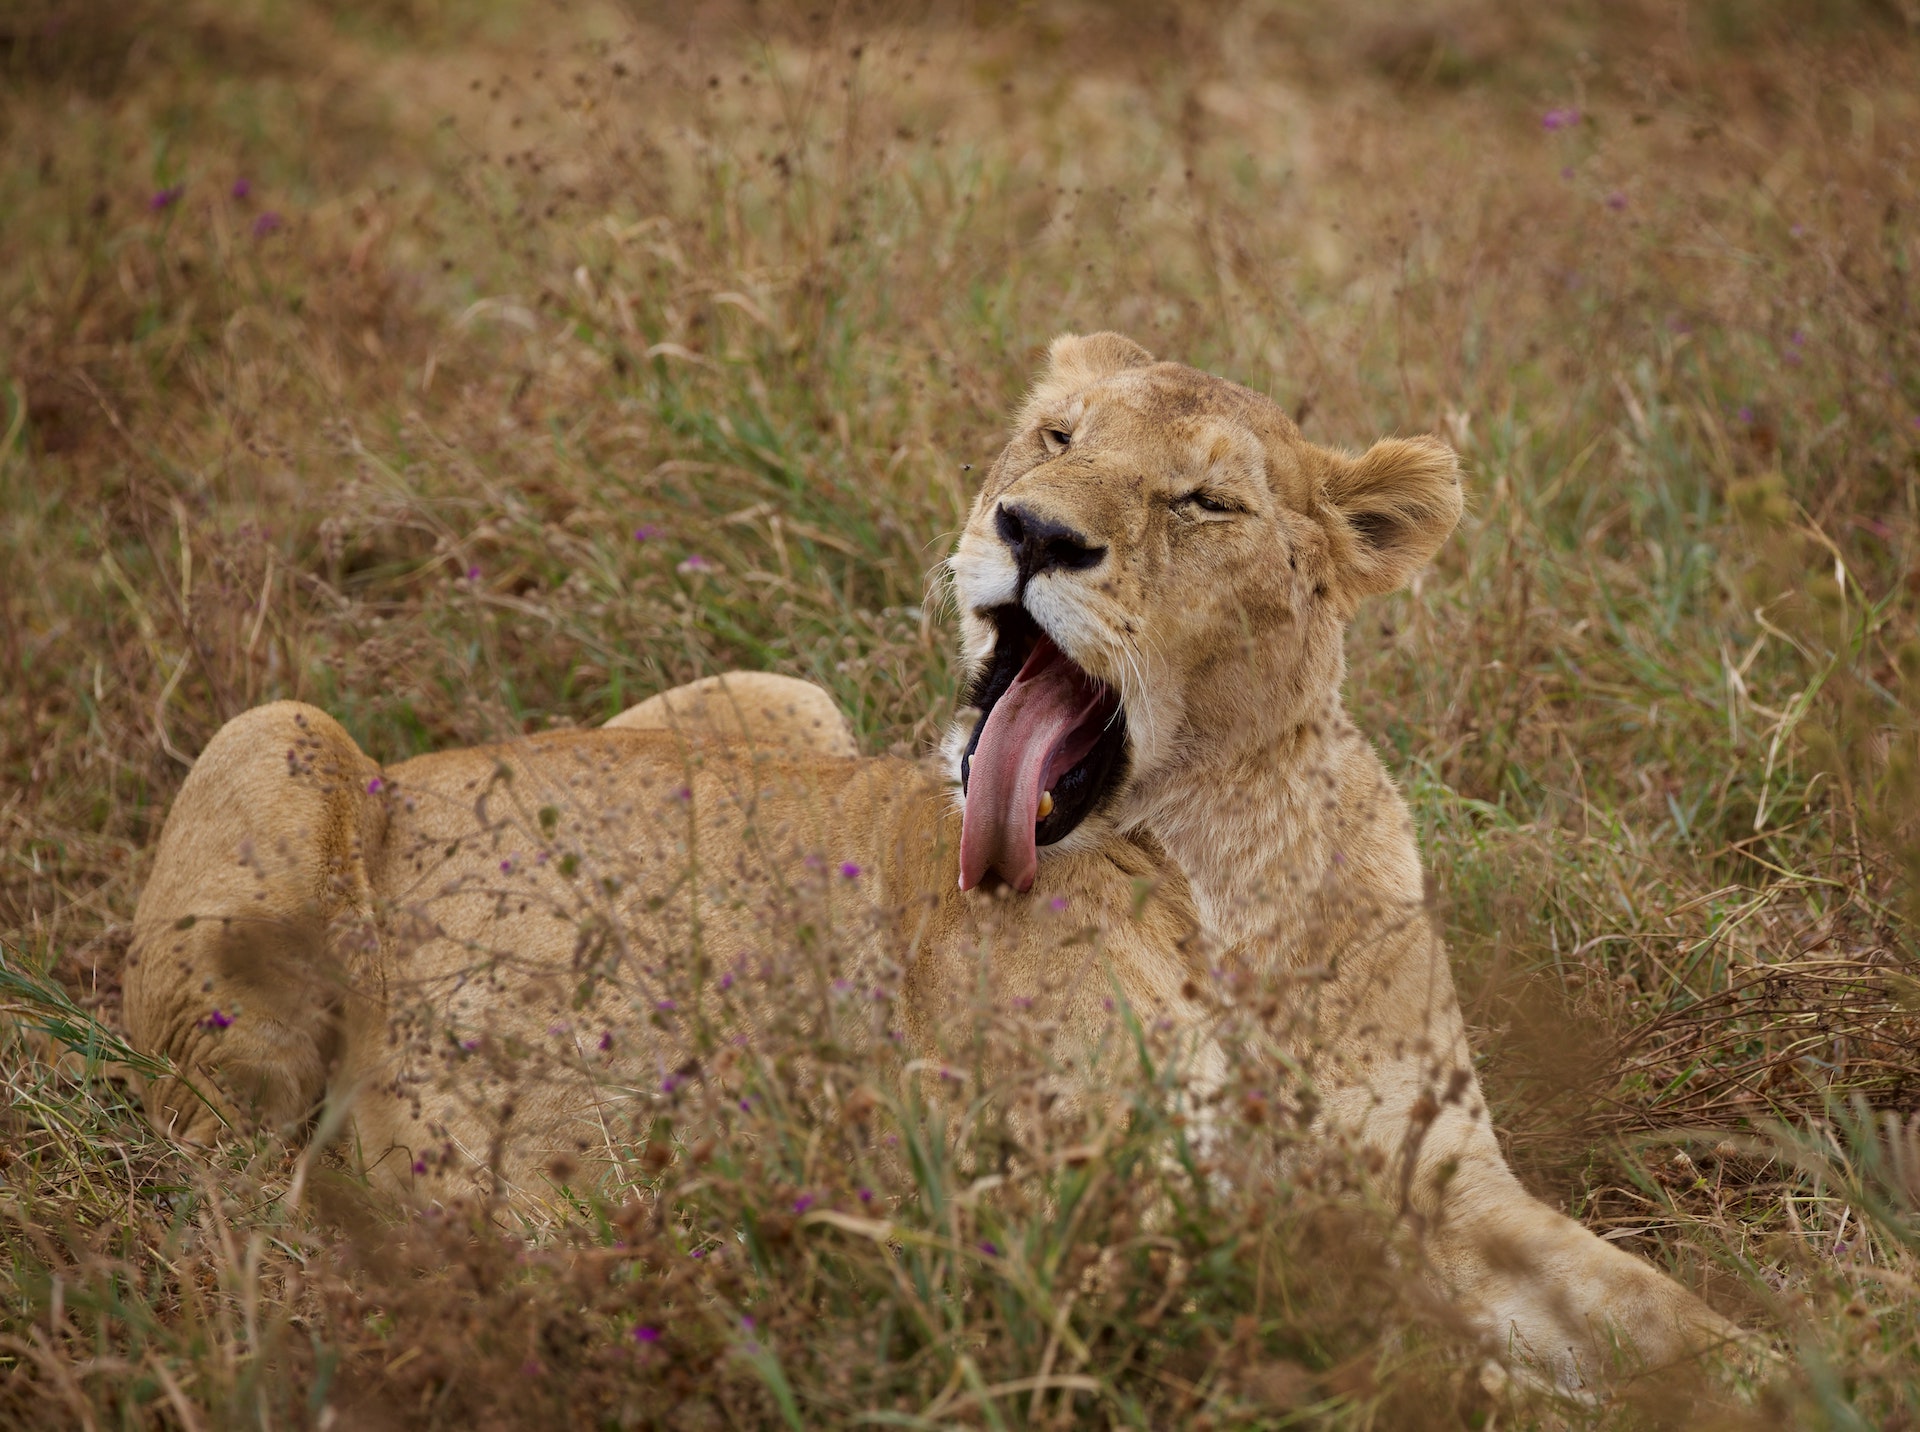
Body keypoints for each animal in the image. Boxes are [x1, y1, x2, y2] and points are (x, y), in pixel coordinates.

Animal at [123, 332, 1743, 1382]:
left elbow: (1662, 1312)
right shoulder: (1048, 1213)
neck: (1229, 861)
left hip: (779, 697)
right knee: (233, 1182)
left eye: (1206, 501)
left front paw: (1769, 1363)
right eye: (1060, 439)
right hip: (277, 739)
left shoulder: (1442, 1181)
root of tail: (416, 765)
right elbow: (1403, 1360)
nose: (1033, 532)